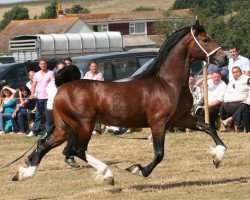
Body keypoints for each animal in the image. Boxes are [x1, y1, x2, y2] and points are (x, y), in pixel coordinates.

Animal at [13, 21, 229, 185]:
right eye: (205, 40)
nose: (224, 58)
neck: (168, 84)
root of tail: (63, 87)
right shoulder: (158, 123)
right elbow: (159, 153)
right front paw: (138, 169)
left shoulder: (182, 118)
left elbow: (209, 127)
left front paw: (218, 157)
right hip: (84, 125)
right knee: (77, 150)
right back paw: (108, 174)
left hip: (65, 128)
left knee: (43, 144)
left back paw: (24, 173)